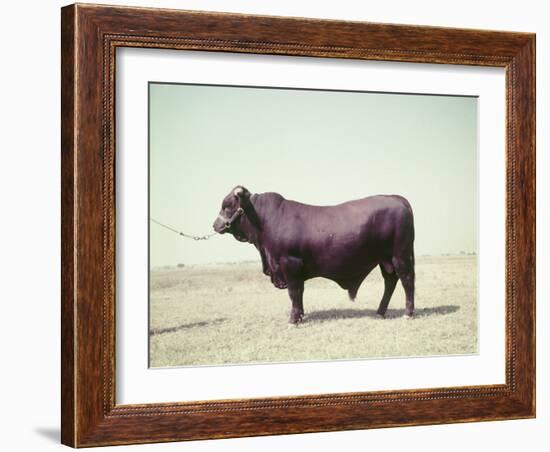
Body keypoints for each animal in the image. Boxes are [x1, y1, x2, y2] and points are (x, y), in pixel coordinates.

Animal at [213, 185, 416, 324]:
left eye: (227, 205)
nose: (215, 225)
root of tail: (397, 199)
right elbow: (300, 292)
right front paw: (301, 315)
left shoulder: (290, 263)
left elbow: (294, 291)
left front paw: (293, 319)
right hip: (386, 260)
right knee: (390, 282)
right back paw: (380, 312)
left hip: (400, 255)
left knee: (407, 280)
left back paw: (407, 313)